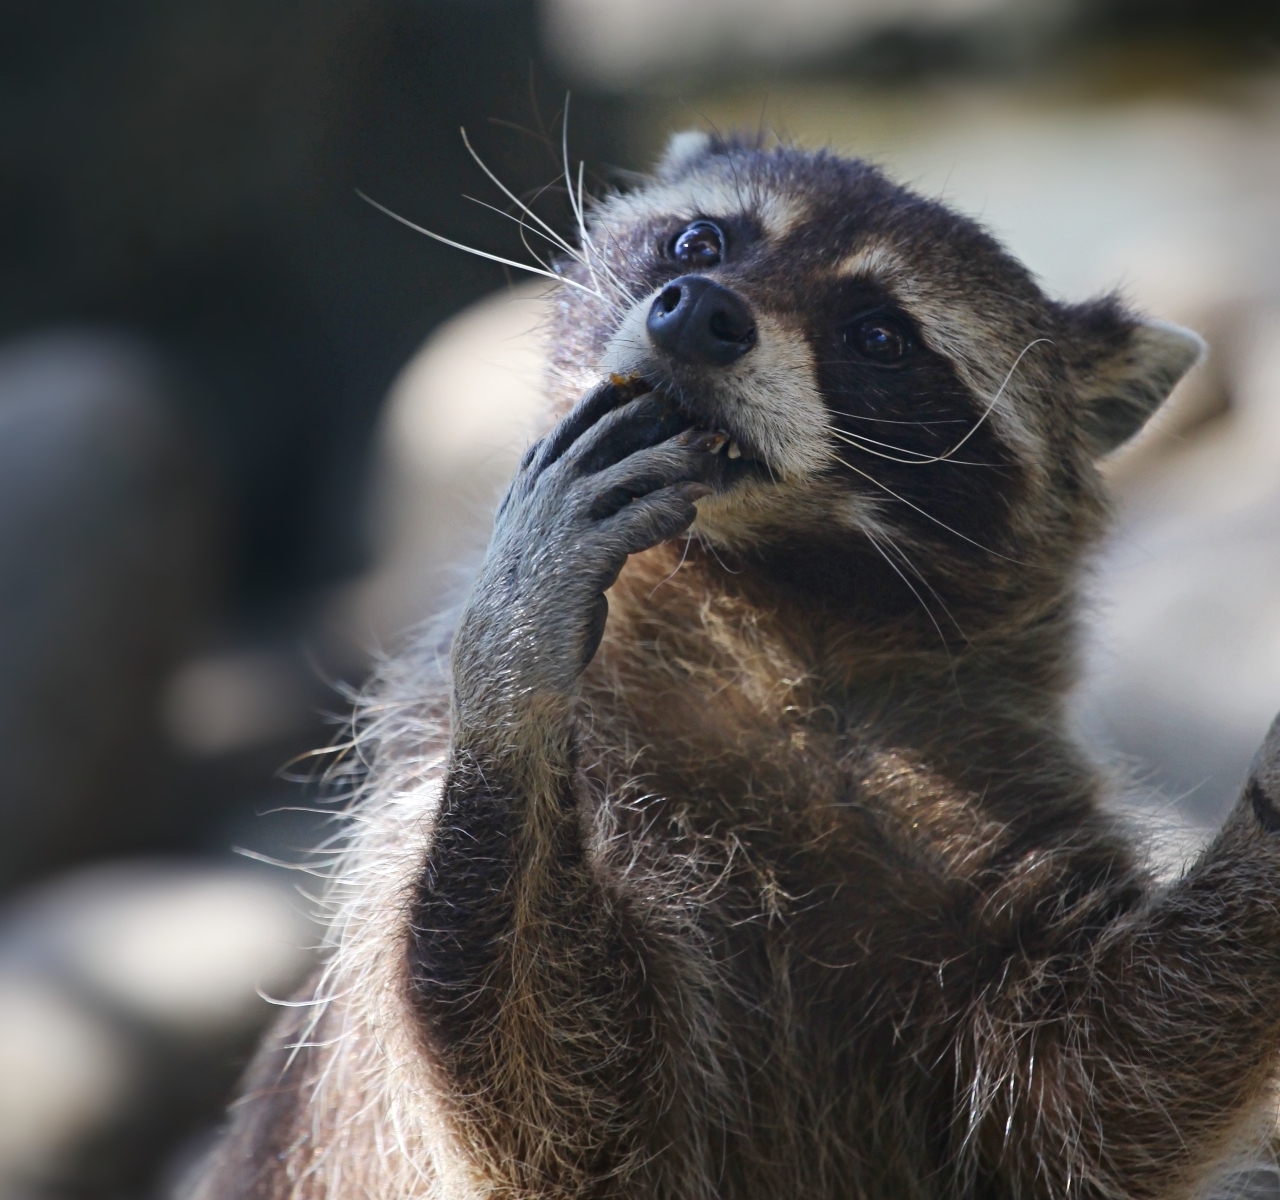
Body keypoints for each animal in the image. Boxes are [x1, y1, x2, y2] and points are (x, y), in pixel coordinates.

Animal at [189, 131, 1280, 1197]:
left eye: (880, 336)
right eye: (699, 242)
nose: (699, 312)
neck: (773, 607)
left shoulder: (995, 808)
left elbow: (1097, 1084)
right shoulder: (432, 777)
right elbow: (549, 1094)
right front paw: (515, 680)